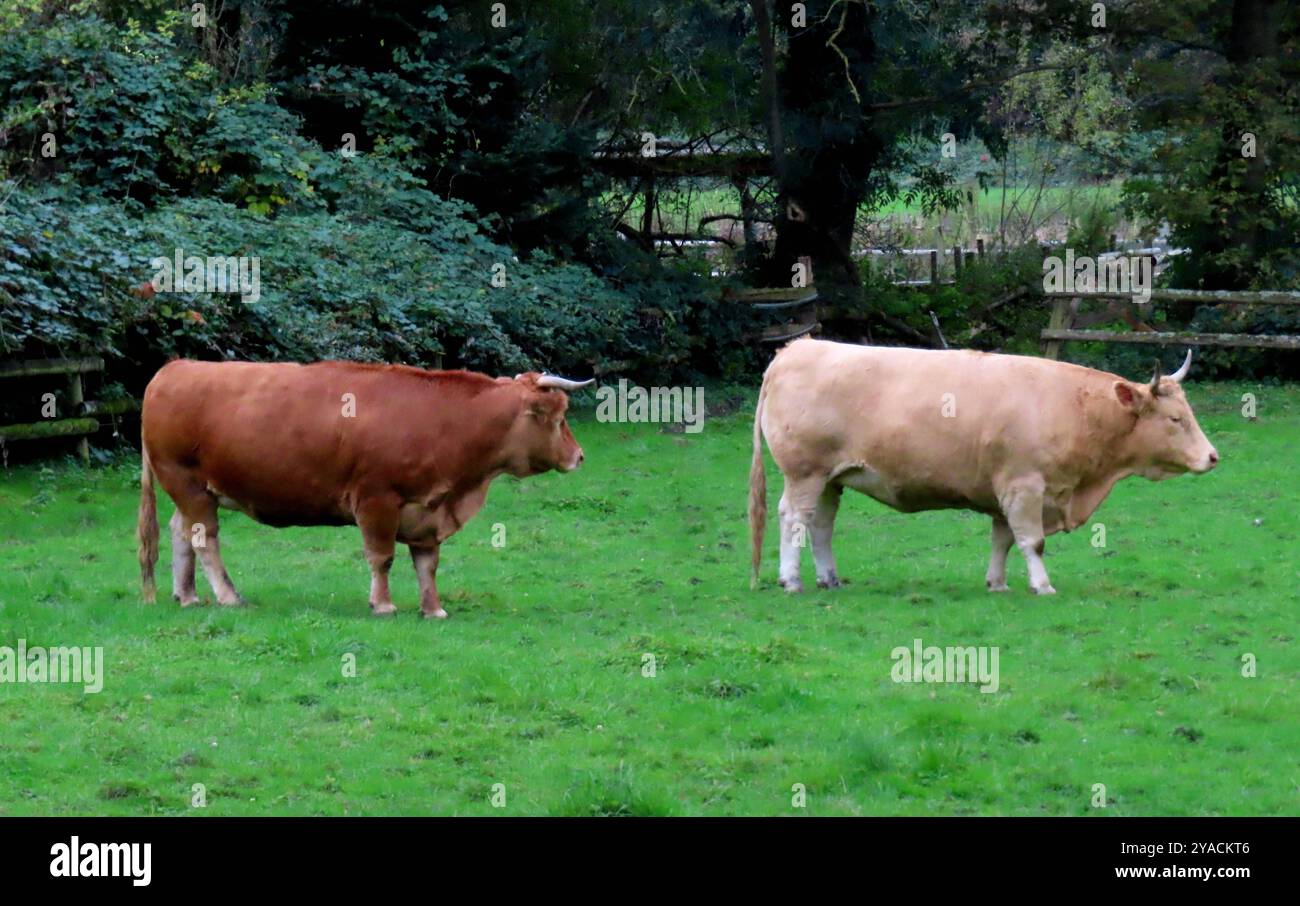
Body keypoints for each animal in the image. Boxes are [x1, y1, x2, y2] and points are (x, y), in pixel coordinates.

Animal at [139, 361, 592, 616]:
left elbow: (427, 564)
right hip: (188, 484)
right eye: (558, 418)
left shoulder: (427, 510)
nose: (579, 456)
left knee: (181, 533)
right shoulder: (377, 500)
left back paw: (187, 595)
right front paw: (383, 604)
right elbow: (382, 557)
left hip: (193, 491)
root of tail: (174, 367)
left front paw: (433, 609)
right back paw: (228, 596)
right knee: (204, 539)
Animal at [754, 337, 1216, 592]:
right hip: (804, 474)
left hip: (831, 479)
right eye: (1175, 419)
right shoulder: (1025, 486)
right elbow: (1032, 541)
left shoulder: (1006, 491)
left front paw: (998, 583)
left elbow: (1003, 540)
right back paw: (791, 580)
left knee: (820, 525)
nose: (1213, 456)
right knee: (793, 518)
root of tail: (796, 348)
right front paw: (1042, 585)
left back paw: (828, 578)